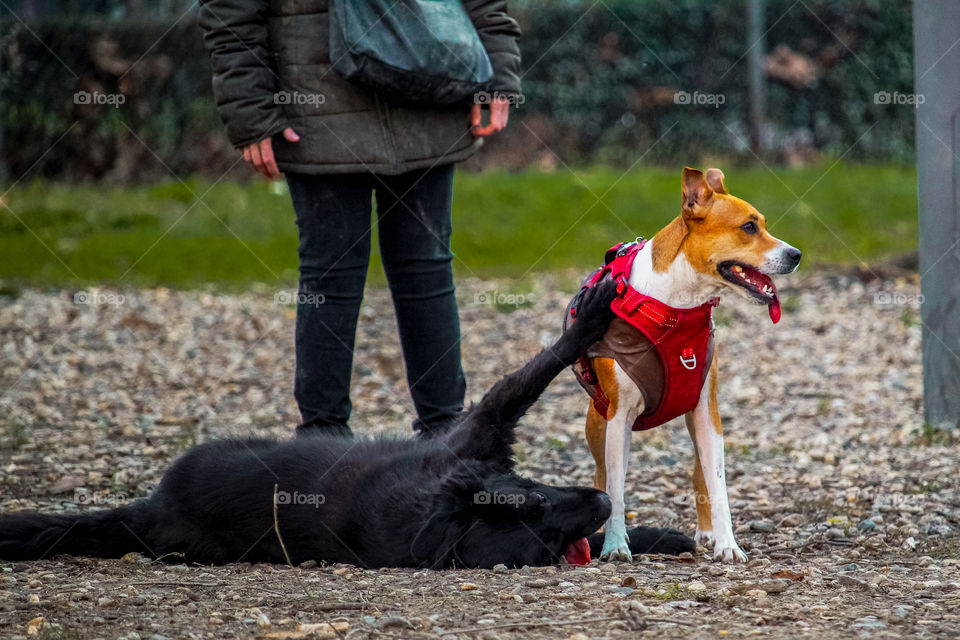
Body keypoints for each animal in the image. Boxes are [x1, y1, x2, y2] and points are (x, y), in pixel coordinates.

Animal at [0, 282, 688, 568]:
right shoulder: (476, 428)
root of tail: (148, 509)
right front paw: (589, 319)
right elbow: (534, 369)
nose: (602, 499)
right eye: (537, 524)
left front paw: (656, 538)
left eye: (535, 497)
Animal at [584, 168, 804, 564]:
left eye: (762, 224)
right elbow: (616, 490)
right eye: (749, 227)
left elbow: (718, 486)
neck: (677, 307)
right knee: (602, 478)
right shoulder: (618, 415)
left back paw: (706, 533)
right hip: (598, 423)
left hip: (697, 420)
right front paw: (615, 545)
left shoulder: (706, 409)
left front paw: (728, 545)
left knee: (700, 474)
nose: (796, 255)